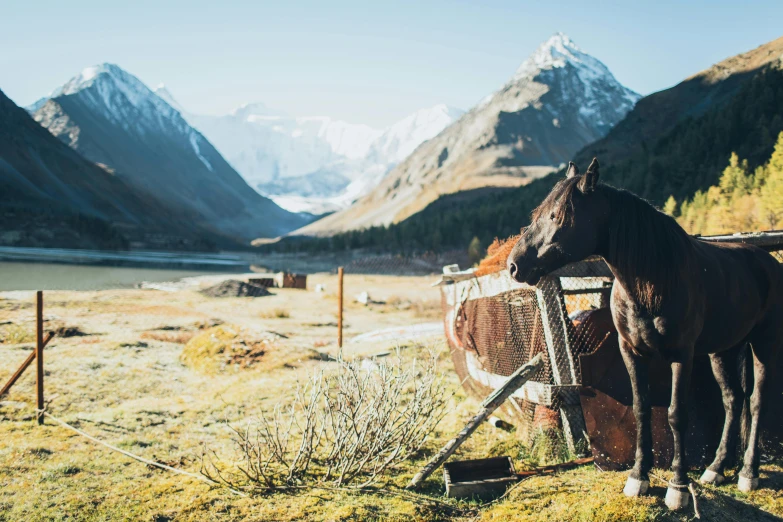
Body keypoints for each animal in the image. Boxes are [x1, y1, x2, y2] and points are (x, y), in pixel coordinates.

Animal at [508, 157, 783, 508]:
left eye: (557, 215)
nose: (514, 265)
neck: (653, 281)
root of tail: (767, 262)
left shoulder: (682, 356)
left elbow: (677, 415)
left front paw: (678, 488)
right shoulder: (632, 352)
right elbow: (641, 410)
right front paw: (639, 478)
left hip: (764, 344)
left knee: (757, 400)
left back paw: (749, 473)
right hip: (723, 350)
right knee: (733, 400)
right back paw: (716, 469)